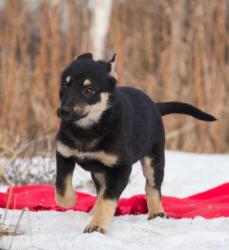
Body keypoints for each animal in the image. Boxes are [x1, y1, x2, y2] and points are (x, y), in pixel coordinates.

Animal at [54, 53, 216, 234]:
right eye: (64, 86)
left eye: (89, 90)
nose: (63, 111)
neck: (88, 128)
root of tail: (155, 106)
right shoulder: (64, 154)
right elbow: (61, 185)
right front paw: (70, 200)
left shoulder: (121, 167)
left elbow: (108, 199)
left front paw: (96, 225)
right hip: (100, 172)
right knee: (101, 189)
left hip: (154, 159)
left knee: (152, 187)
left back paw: (157, 213)